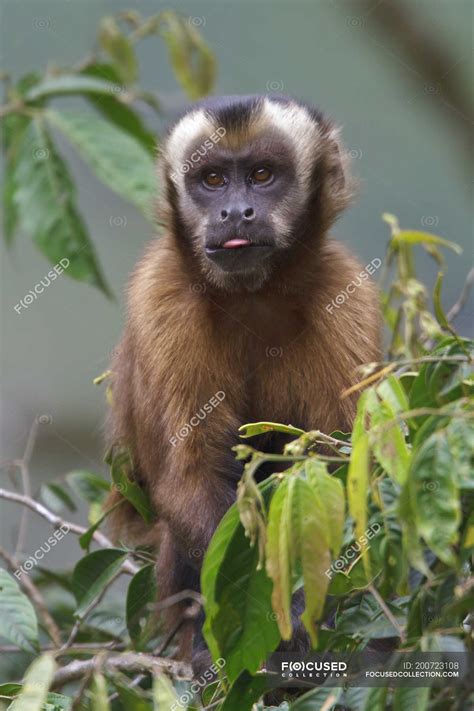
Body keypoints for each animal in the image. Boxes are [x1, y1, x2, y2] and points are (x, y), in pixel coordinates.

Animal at [107, 94, 382, 668]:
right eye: (212, 179)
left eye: (261, 175)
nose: (234, 211)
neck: (252, 296)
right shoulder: (162, 297)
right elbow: (191, 478)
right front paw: (275, 617)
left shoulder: (346, 293)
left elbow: (345, 476)